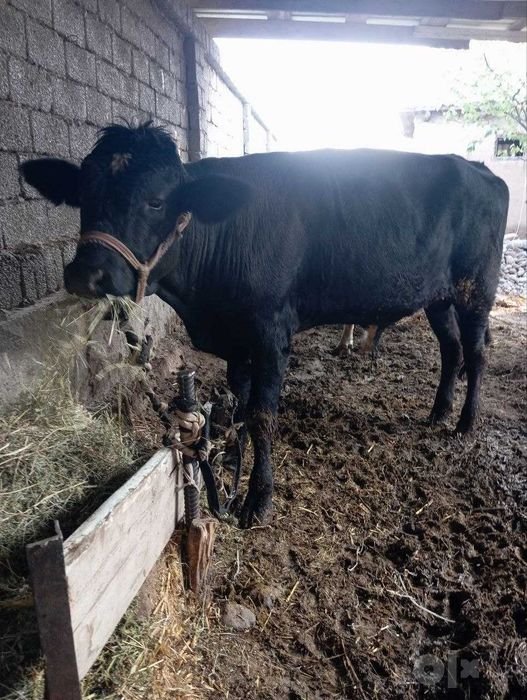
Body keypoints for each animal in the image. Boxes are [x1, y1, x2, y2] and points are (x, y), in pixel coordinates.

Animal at [21, 123, 509, 528]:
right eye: (82, 197)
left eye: (155, 200)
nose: (86, 274)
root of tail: (480, 168)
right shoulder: (237, 341)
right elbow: (237, 406)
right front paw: (226, 465)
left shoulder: (271, 334)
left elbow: (261, 416)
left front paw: (258, 498)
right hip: (439, 298)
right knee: (451, 349)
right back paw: (439, 412)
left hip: (476, 290)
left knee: (477, 352)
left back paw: (465, 424)